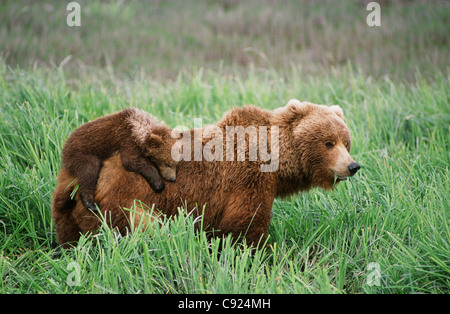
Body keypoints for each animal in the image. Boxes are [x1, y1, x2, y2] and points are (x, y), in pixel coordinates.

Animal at [52, 100, 360, 248]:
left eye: (346, 142)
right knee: (146, 229)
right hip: (126, 201)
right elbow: (244, 226)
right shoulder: (247, 179)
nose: (353, 166)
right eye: (328, 143)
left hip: (67, 209)